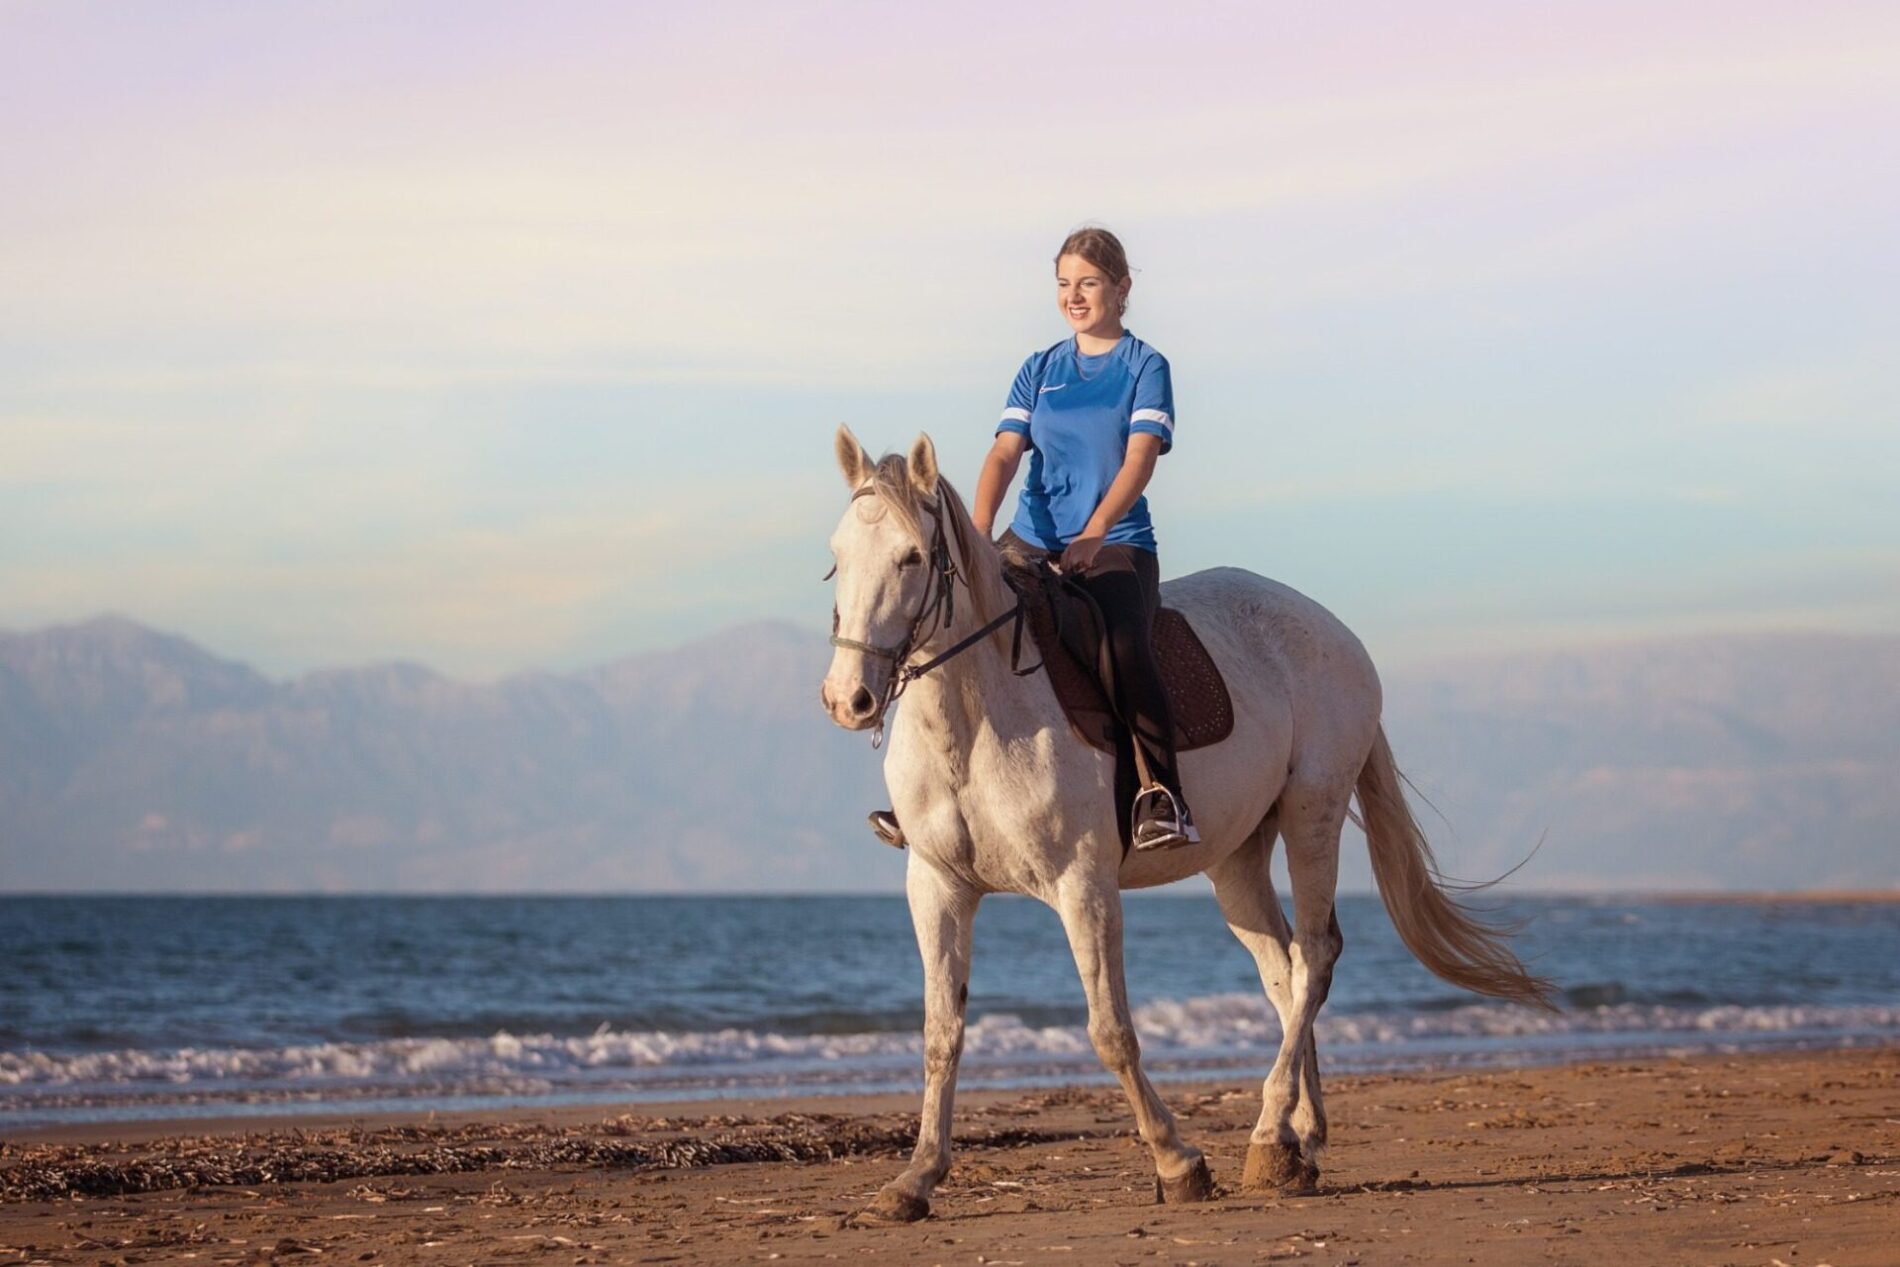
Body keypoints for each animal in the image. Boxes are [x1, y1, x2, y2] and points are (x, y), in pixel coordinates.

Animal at [819, 426, 1550, 1223]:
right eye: (836, 555)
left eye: (911, 557)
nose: (849, 698)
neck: (977, 716)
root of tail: (1337, 632)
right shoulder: (937, 886)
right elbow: (940, 1034)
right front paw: (912, 1181)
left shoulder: (1083, 885)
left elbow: (1111, 1031)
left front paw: (1178, 1162)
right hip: (1236, 856)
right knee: (1283, 972)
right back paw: (1297, 1139)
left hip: (1313, 812)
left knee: (1316, 955)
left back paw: (1267, 1141)